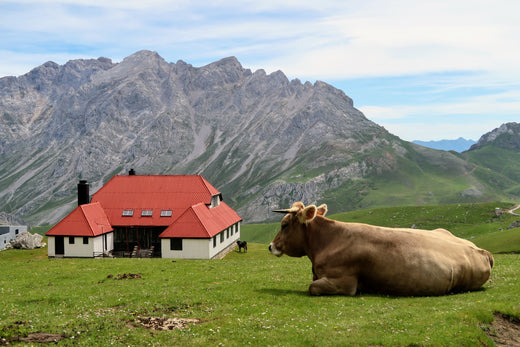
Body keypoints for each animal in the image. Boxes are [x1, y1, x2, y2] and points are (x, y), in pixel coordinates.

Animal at [270, 203, 494, 298]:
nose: (271, 246)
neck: (327, 242)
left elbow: (312, 287)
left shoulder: (344, 282)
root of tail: (483, 251)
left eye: (284, 225)